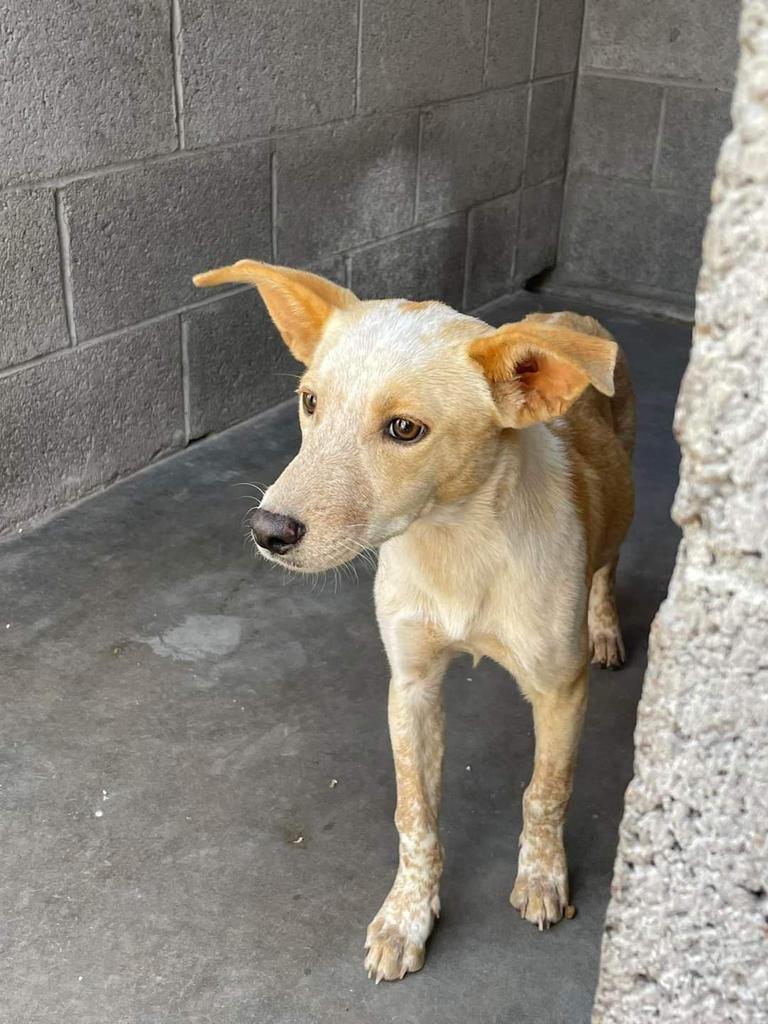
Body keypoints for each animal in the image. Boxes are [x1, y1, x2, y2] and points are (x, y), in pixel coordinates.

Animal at [192, 260, 638, 978]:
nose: (267, 531)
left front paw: (543, 876)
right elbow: (414, 815)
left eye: (405, 430)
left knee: (609, 564)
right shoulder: (411, 684)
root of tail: (569, 316)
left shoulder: (561, 689)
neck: (455, 545)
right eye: (309, 402)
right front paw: (408, 916)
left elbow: (546, 791)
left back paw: (605, 626)